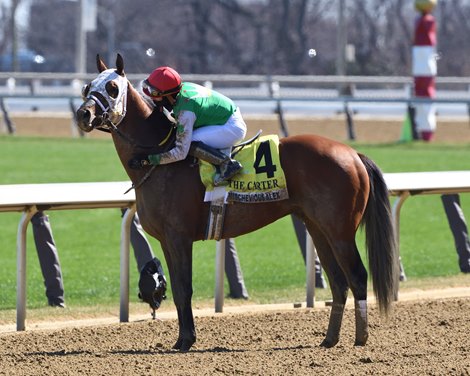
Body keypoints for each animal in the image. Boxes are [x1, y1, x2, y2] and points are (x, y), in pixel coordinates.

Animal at [76, 54, 396, 352]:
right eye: (87, 87)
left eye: (113, 88)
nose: (83, 114)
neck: (160, 159)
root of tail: (354, 154)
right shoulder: (167, 240)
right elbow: (177, 289)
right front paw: (181, 339)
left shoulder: (179, 237)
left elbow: (184, 289)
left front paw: (187, 340)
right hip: (317, 228)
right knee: (339, 283)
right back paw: (329, 339)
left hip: (340, 231)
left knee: (357, 276)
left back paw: (361, 338)